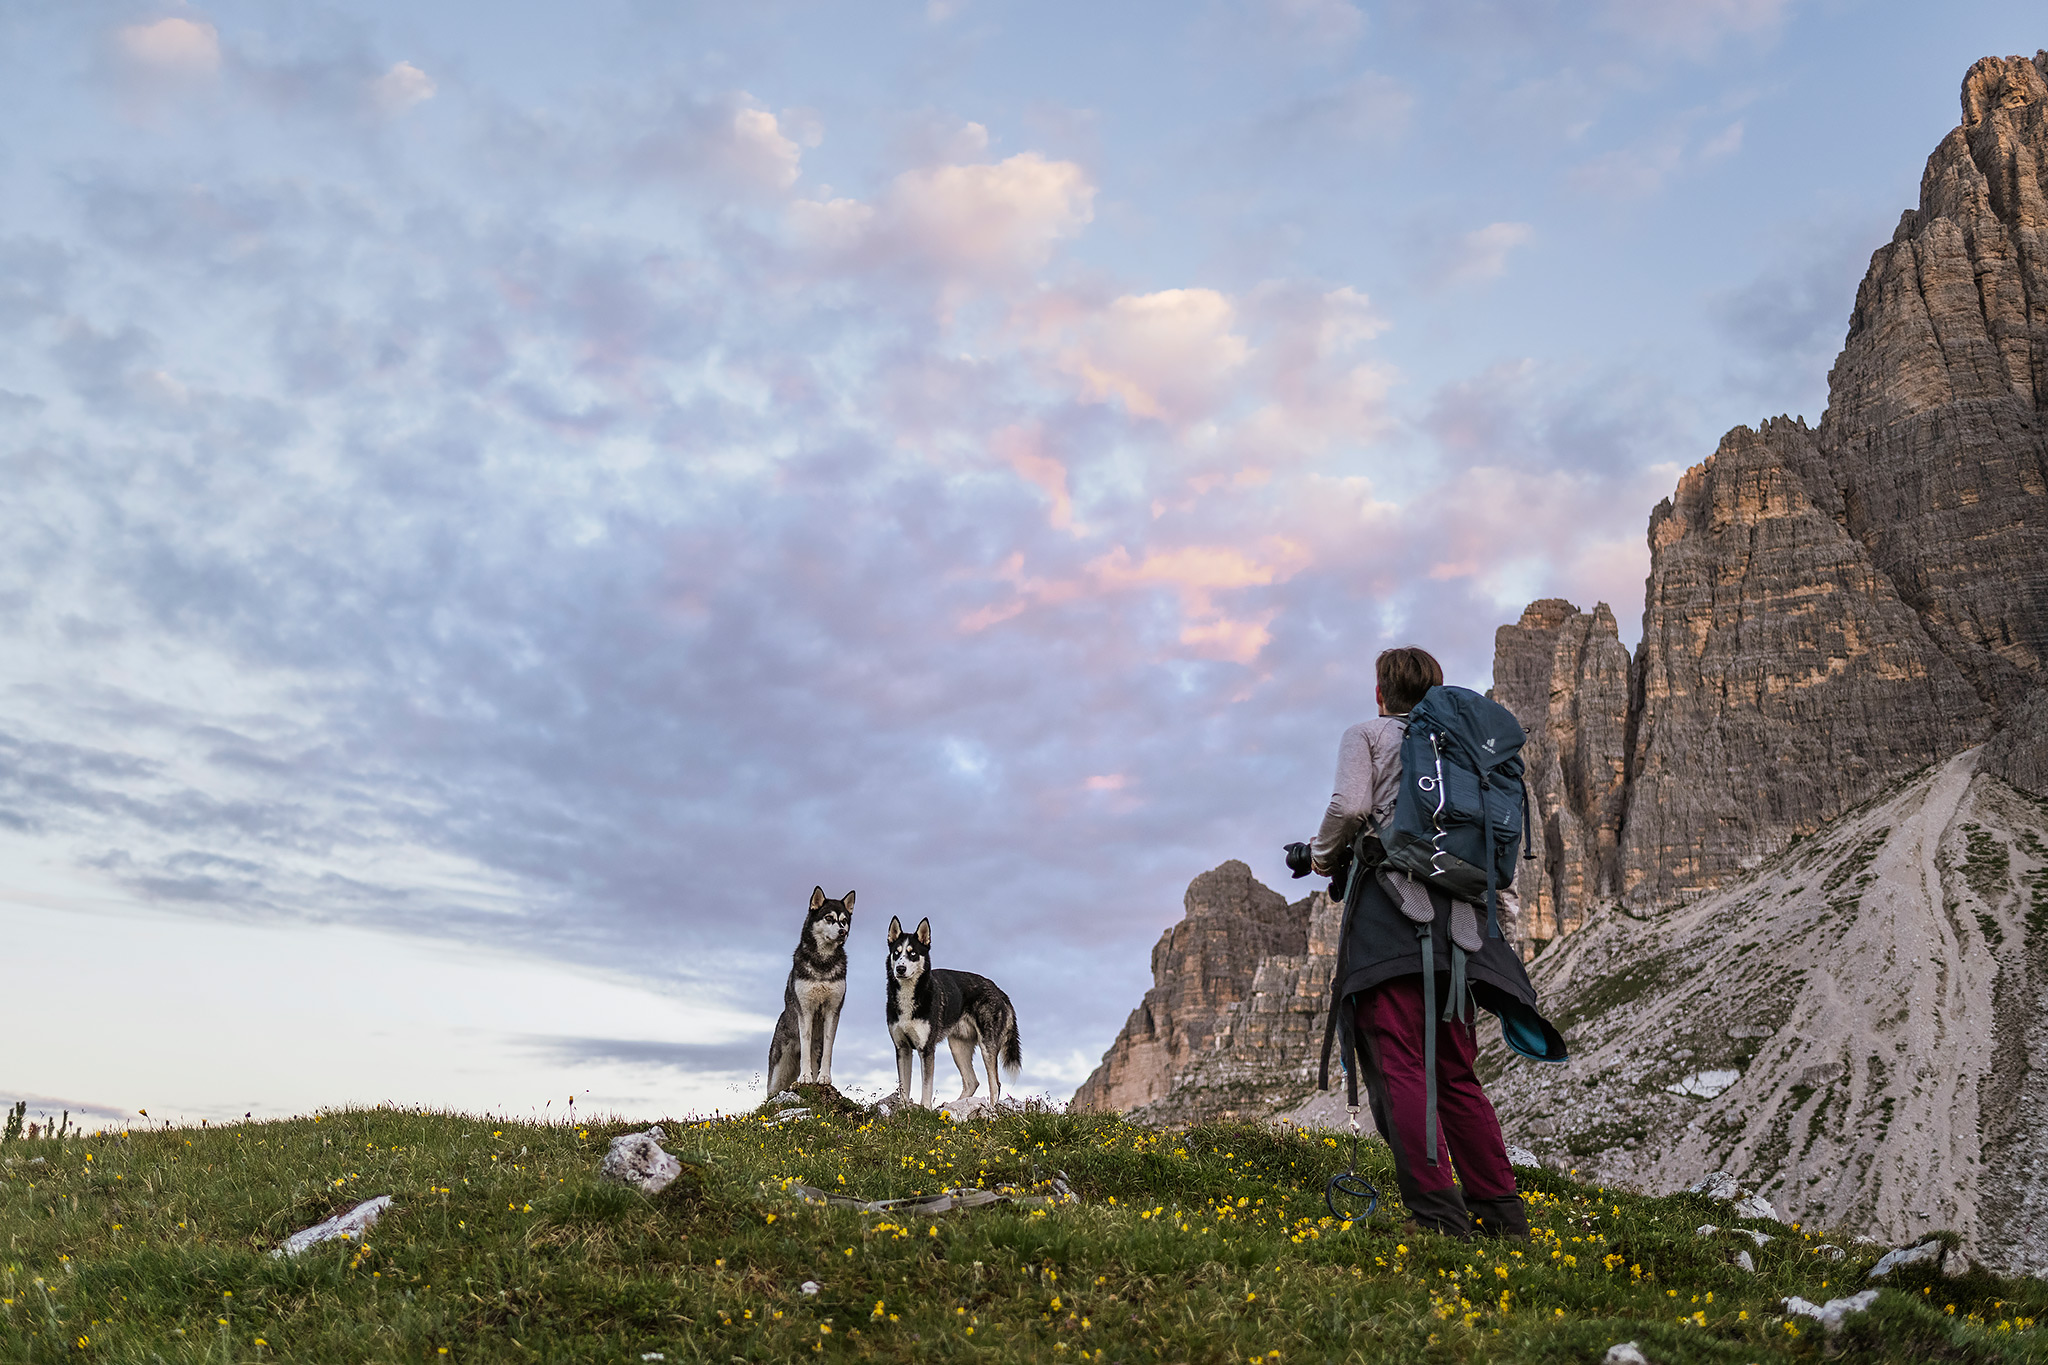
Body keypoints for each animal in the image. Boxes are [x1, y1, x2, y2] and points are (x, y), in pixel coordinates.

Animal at [765, 888, 851, 1096]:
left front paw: (824, 1078)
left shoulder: (833, 1011)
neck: (823, 964)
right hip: (778, 1073)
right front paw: (805, 1077)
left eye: (844, 920)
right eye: (829, 918)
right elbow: (805, 1042)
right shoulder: (805, 1010)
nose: (843, 932)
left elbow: (828, 1048)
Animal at [888, 916, 1032, 1113]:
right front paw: (903, 1110)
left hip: (987, 1047)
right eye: (896, 953)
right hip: (958, 1047)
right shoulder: (902, 1048)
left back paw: (991, 1110)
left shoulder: (927, 1050)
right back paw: (953, 1106)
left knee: (995, 1084)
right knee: (972, 1082)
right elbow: (904, 1086)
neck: (910, 996)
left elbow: (926, 1085)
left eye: (913, 954)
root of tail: (1000, 992)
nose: (900, 969)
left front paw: (925, 1109)